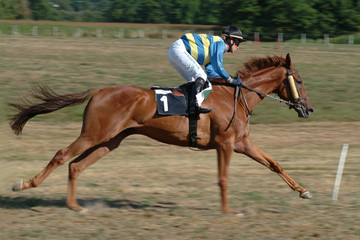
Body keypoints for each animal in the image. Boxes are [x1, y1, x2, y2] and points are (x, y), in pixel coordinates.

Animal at [8, 53, 312, 214]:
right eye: (298, 80)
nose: (308, 108)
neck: (236, 97)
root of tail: (98, 90)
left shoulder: (242, 143)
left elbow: (274, 164)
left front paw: (303, 191)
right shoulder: (225, 145)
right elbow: (223, 179)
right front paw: (228, 211)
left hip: (111, 140)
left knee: (76, 166)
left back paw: (75, 206)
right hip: (94, 134)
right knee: (62, 155)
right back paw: (24, 184)